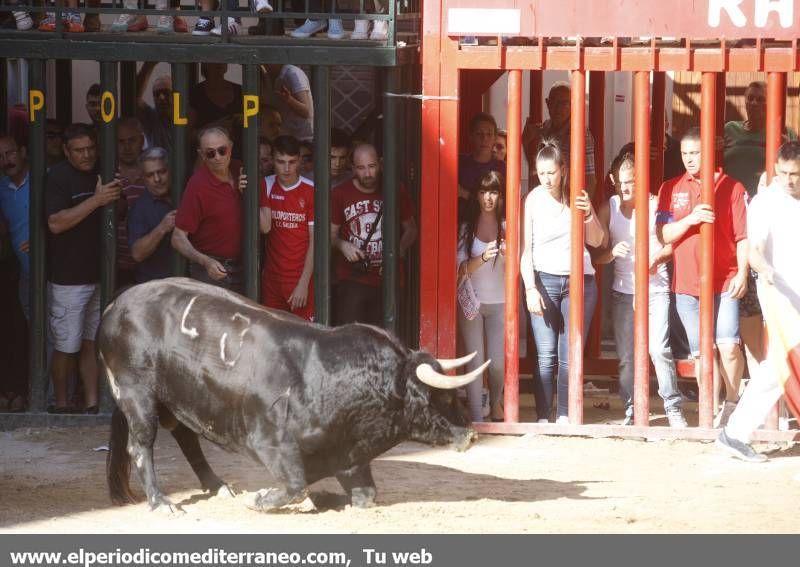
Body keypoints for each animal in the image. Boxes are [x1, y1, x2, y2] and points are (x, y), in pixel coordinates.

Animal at [100, 278, 488, 512]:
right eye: (440, 397)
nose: (470, 434)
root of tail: (115, 306)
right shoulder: (270, 444)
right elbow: (297, 485)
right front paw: (264, 499)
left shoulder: (350, 457)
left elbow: (366, 496)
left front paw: (325, 498)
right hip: (137, 393)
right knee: (141, 445)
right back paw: (161, 501)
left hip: (175, 398)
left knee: (185, 436)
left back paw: (217, 486)